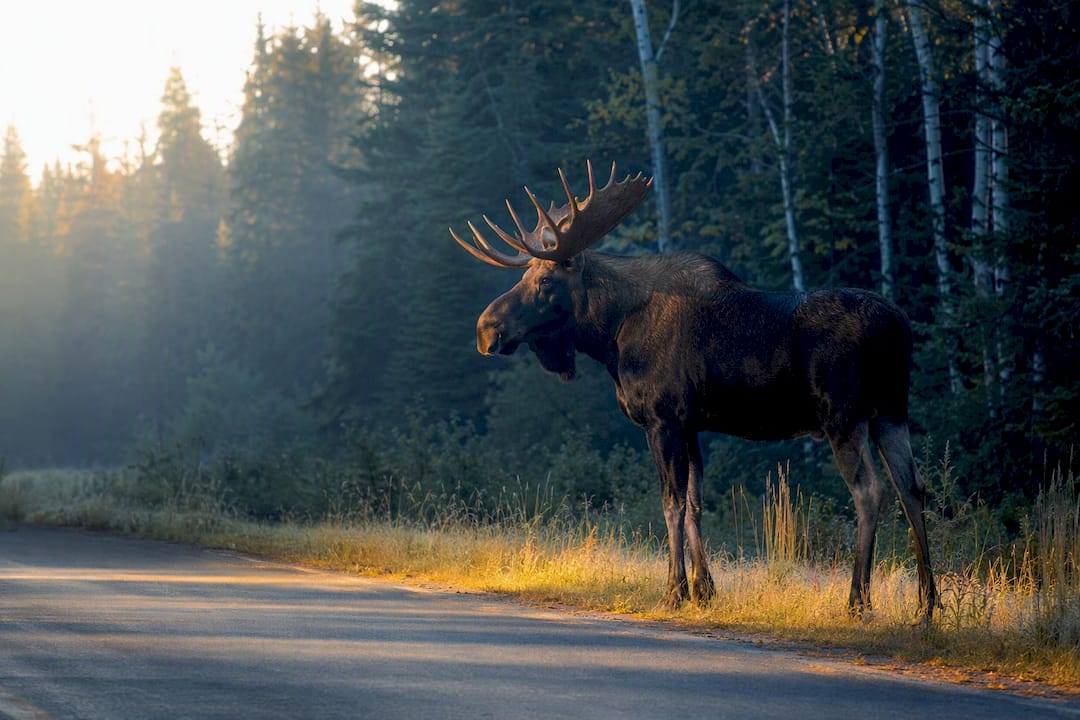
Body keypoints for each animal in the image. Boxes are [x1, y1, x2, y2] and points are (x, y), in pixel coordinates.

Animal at [451, 161, 937, 621]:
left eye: (546, 281)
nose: (485, 330)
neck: (610, 335)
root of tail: (901, 325)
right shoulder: (691, 424)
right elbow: (696, 503)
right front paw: (705, 590)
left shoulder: (662, 418)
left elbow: (671, 503)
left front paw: (674, 590)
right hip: (891, 412)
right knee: (912, 488)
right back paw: (927, 604)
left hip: (844, 415)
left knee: (870, 491)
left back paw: (858, 601)